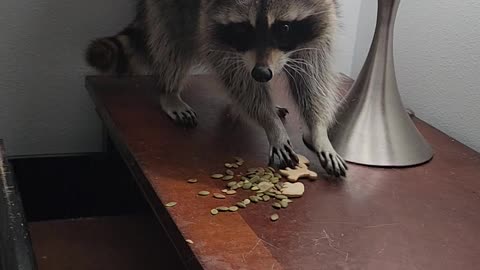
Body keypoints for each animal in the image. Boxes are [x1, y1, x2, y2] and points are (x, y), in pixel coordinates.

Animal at [85, 0, 348, 177]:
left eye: (283, 28)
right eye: (243, 29)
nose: (262, 73)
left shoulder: (321, 22)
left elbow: (313, 73)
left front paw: (319, 130)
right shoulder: (212, 22)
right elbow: (234, 73)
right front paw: (270, 123)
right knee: (174, 38)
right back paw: (170, 90)